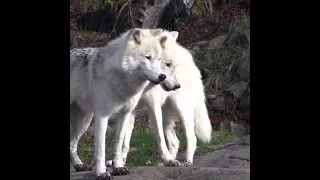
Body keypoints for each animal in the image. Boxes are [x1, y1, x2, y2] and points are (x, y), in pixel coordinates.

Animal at [70, 28, 170, 180]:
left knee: (71, 144)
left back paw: (79, 165)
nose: (162, 76)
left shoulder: (124, 114)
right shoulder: (102, 116)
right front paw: (102, 172)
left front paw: (118, 167)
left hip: (84, 121)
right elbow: (101, 148)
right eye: (147, 57)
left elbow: (118, 144)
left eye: (159, 59)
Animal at [107, 30, 212, 167]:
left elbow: (160, 137)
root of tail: (187, 55)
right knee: (175, 142)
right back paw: (168, 162)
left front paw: (168, 159)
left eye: (172, 66)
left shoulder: (153, 106)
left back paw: (186, 161)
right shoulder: (130, 110)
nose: (177, 86)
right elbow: (124, 140)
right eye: (167, 64)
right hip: (166, 117)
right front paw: (120, 161)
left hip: (182, 109)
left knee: (192, 138)